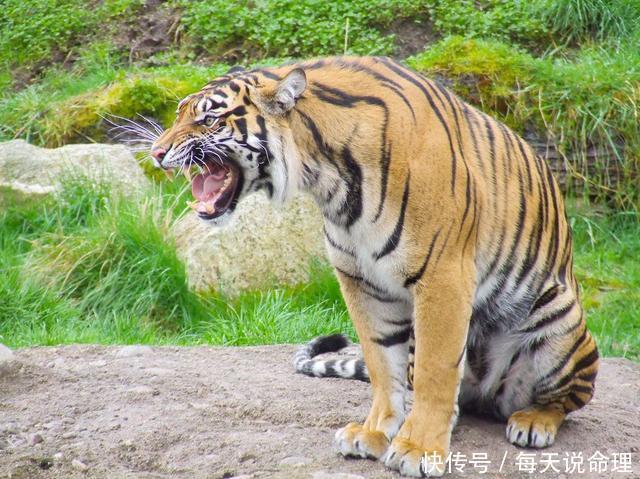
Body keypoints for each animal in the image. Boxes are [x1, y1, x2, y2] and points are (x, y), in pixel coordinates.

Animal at [150, 55, 600, 476]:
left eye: (209, 118)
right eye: (180, 113)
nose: (156, 153)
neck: (329, 178)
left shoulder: (443, 275)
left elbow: (437, 369)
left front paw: (419, 449)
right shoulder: (361, 280)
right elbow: (383, 362)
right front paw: (375, 433)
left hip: (560, 318)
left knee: (566, 399)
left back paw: (532, 422)